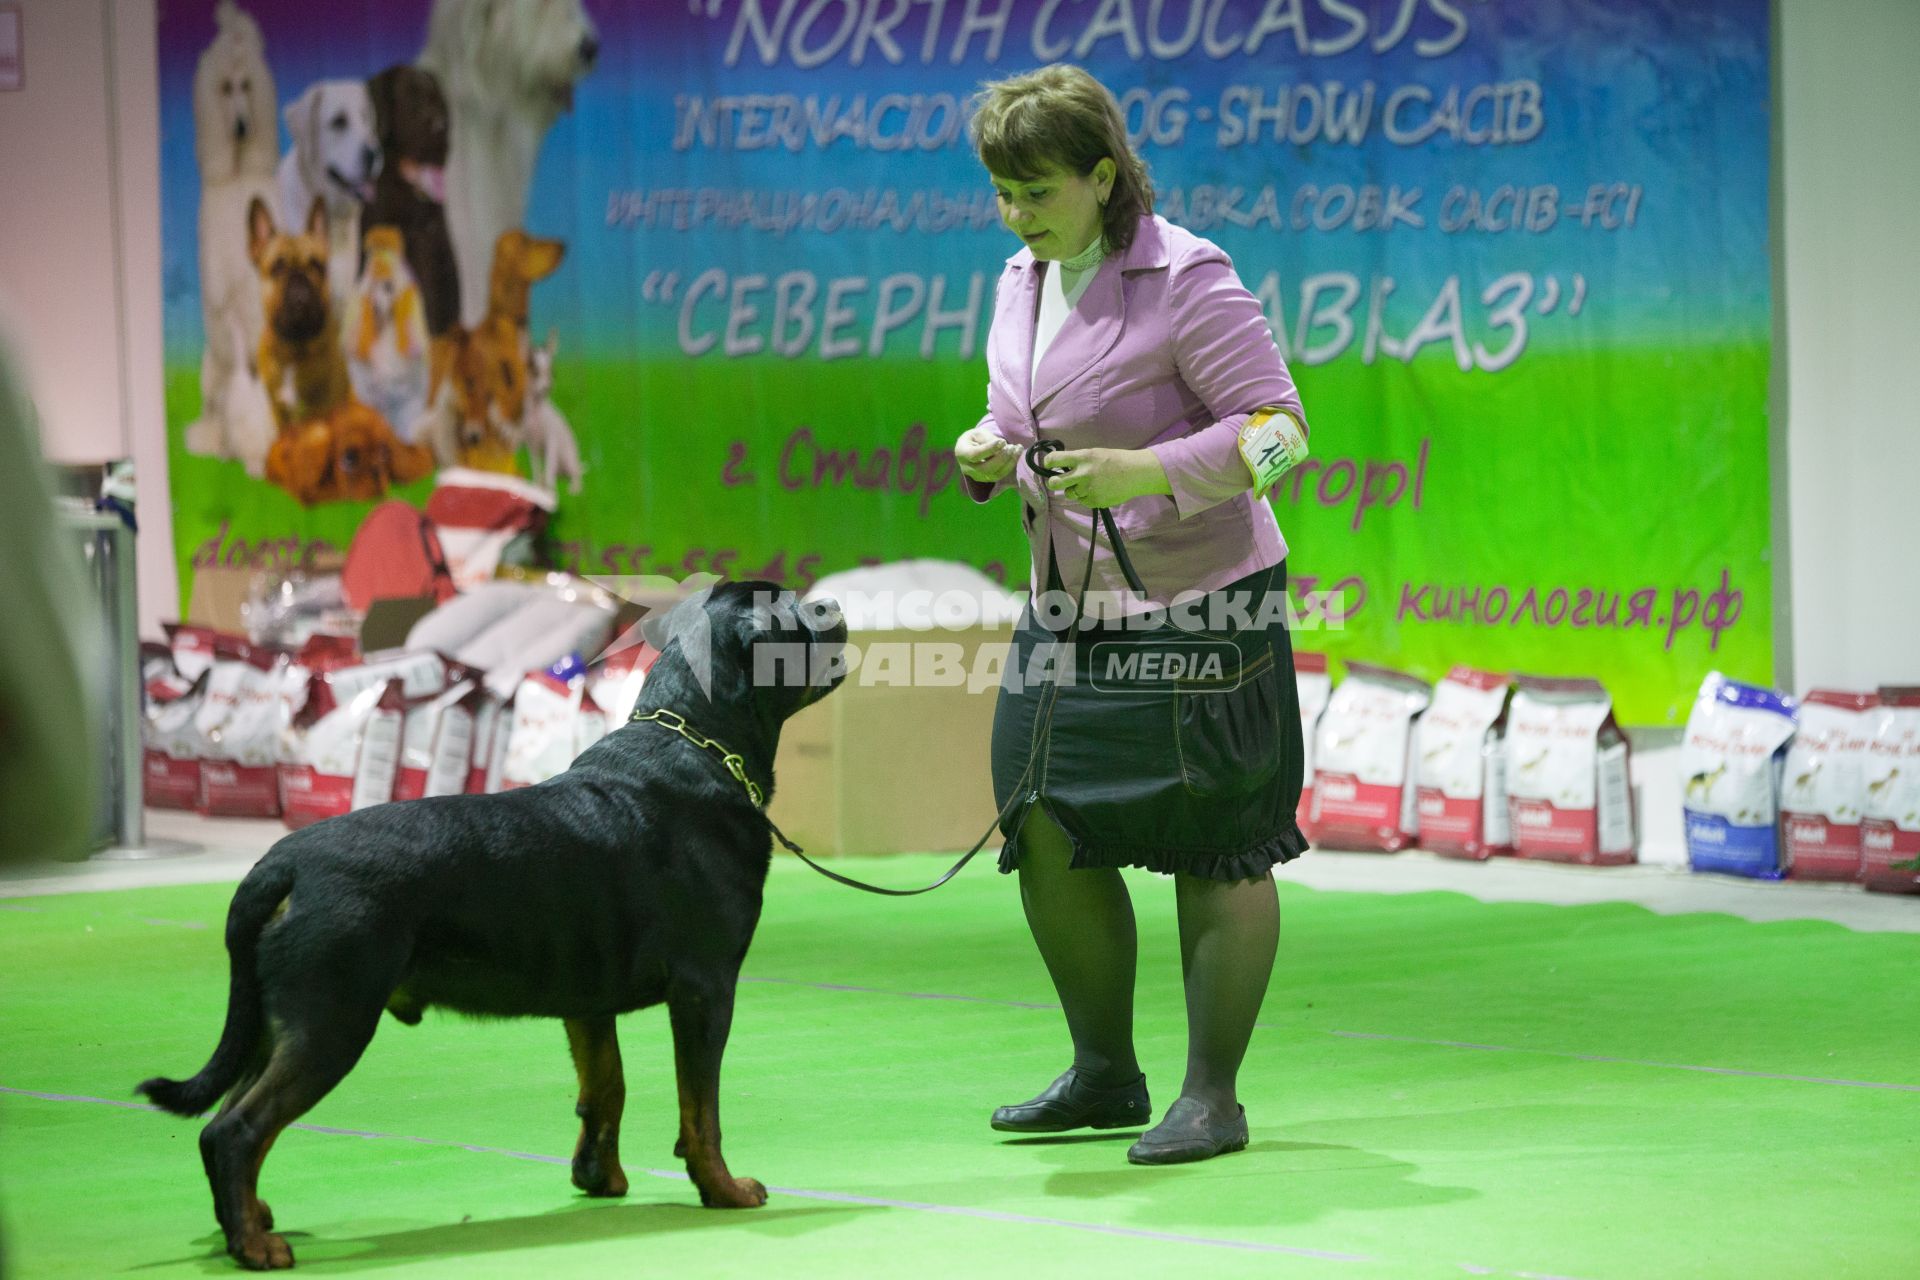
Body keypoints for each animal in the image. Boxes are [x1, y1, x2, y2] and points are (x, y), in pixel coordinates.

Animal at [139, 587, 844, 1266]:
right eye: (791, 608)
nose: (833, 606)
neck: (697, 741)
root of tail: (279, 865)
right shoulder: (705, 988)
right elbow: (701, 1107)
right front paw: (724, 1188)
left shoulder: (587, 999)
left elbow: (606, 1086)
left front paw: (599, 1177)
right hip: (330, 1018)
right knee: (237, 1129)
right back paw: (255, 1247)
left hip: (272, 1024)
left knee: (224, 1117)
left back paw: (250, 1221)